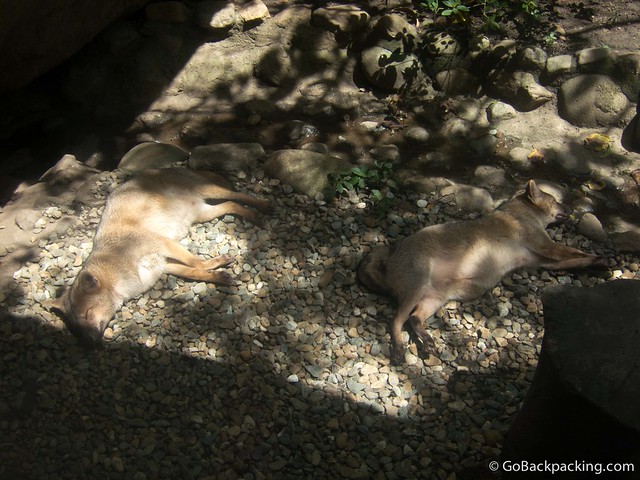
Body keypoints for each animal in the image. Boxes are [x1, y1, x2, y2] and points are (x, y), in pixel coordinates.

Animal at [51, 167, 271, 346]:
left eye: (87, 313)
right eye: (77, 328)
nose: (88, 343)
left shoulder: (165, 244)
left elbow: (195, 261)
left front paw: (216, 263)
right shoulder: (166, 264)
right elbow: (194, 272)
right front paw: (218, 275)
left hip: (210, 192)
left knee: (238, 194)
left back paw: (262, 204)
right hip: (204, 213)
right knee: (232, 204)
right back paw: (253, 215)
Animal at [358, 180, 609, 365]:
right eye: (556, 201)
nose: (572, 209)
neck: (519, 211)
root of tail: (390, 251)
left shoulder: (540, 261)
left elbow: (576, 261)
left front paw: (596, 264)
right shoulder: (547, 247)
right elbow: (576, 252)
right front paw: (598, 258)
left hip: (436, 298)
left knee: (414, 319)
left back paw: (427, 341)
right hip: (416, 288)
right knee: (396, 320)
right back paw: (400, 349)